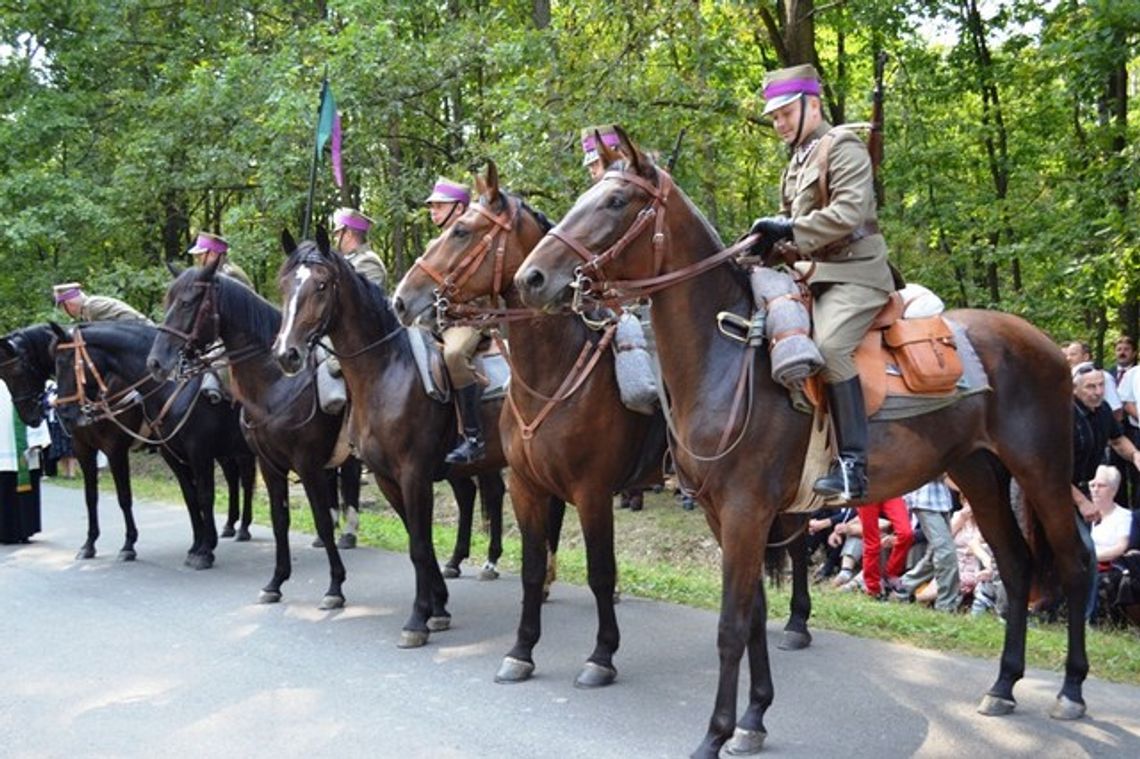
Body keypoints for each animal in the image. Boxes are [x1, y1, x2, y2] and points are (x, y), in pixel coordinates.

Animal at [0, 321, 250, 558]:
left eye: (19, 370)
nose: (30, 416)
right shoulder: (85, 450)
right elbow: (91, 497)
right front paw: (89, 544)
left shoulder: (117, 450)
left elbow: (125, 496)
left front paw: (129, 544)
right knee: (233, 478)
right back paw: (231, 525)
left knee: (245, 481)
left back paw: (242, 528)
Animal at [270, 225, 508, 642]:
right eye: (285, 284)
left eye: (321, 285)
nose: (288, 354)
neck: (386, 371)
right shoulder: (387, 478)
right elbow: (420, 541)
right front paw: (438, 607)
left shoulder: (413, 475)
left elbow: (418, 546)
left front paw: (417, 619)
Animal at [513, 129, 1089, 752]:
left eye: (616, 201)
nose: (531, 278)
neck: (725, 359)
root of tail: (1042, 343)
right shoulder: (727, 515)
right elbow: (754, 615)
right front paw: (754, 719)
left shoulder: (744, 511)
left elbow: (731, 625)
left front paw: (715, 734)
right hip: (979, 474)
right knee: (1016, 564)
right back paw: (1004, 685)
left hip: (1043, 471)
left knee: (1073, 562)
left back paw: (1071, 690)